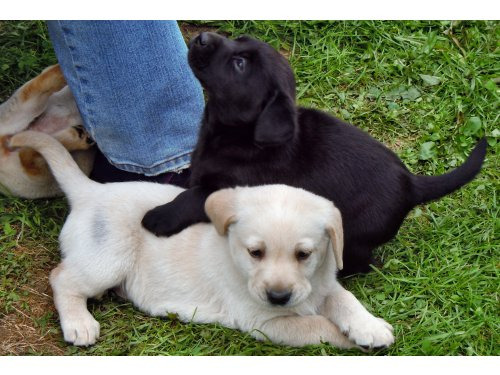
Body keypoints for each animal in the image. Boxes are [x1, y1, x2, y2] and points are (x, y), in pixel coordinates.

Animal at [8, 131, 394, 352]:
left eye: (304, 254)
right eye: (255, 252)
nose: (278, 296)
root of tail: (89, 191)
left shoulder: (323, 284)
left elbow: (345, 301)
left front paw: (369, 327)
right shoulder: (265, 322)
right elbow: (319, 326)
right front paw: (358, 341)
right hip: (106, 258)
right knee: (62, 279)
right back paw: (79, 323)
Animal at [143, 32, 486, 278]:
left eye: (239, 64)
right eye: (238, 39)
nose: (202, 36)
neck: (238, 134)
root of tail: (412, 183)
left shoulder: (229, 189)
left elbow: (190, 198)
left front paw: (159, 217)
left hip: (355, 233)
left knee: (363, 262)